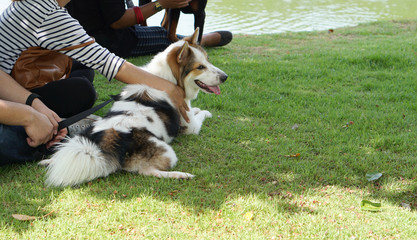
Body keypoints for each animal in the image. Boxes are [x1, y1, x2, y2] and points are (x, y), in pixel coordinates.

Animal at [39, 29, 228, 188]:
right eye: (200, 67)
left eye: (208, 61)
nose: (225, 77)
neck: (168, 78)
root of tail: (105, 143)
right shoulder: (191, 126)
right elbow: (199, 114)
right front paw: (205, 112)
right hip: (167, 152)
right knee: (147, 171)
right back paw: (180, 175)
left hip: (80, 136)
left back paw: (48, 161)